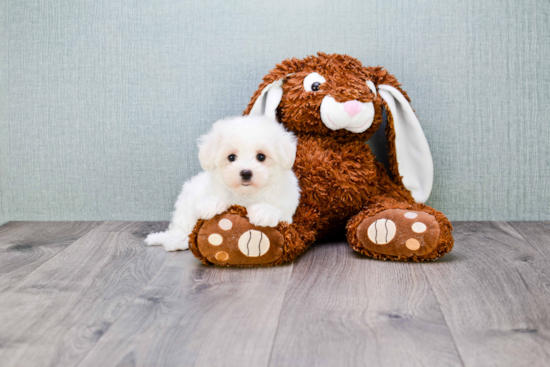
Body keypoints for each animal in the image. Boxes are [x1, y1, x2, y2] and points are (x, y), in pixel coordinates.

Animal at [146, 116, 302, 252]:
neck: (246, 194)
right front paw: (211, 204)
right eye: (231, 157)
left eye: (261, 157)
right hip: (186, 200)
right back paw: (177, 241)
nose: (246, 172)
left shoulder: (286, 207)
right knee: (181, 225)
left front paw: (264, 211)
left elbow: (278, 211)